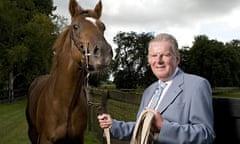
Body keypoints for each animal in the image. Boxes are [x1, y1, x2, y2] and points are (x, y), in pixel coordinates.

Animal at [25, 0, 112, 143]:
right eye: (75, 26)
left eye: (103, 27)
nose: (103, 54)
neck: (66, 104)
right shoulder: (45, 139)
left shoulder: (78, 138)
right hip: (32, 131)